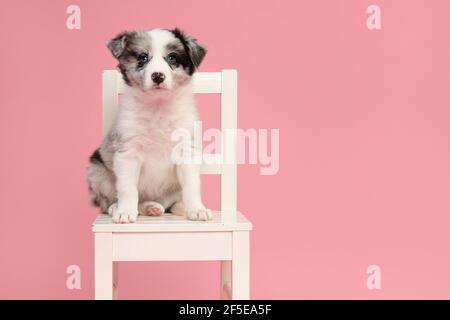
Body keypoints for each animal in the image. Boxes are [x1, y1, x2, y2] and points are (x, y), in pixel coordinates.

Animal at [87, 26, 212, 222]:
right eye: (142, 58)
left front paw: (197, 209)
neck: (158, 106)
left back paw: (173, 207)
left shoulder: (186, 152)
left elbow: (191, 186)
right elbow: (128, 188)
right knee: (109, 202)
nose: (158, 76)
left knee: (170, 202)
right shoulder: (128, 153)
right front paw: (125, 212)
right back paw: (122, 208)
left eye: (172, 58)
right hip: (97, 171)